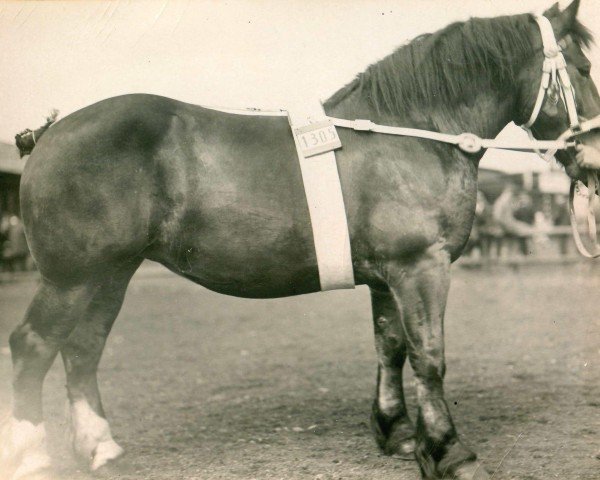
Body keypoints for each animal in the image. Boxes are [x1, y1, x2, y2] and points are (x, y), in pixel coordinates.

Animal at [1, 0, 600, 480]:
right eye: (584, 67)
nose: (593, 158)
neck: (412, 135)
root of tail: (50, 131)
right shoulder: (420, 267)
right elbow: (429, 357)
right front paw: (451, 452)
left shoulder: (387, 276)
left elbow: (390, 347)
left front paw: (399, 433)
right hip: (71, 279)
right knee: (33, 346)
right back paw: (31, 455)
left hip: (111, 274)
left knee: (82, 349)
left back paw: (99, 448)